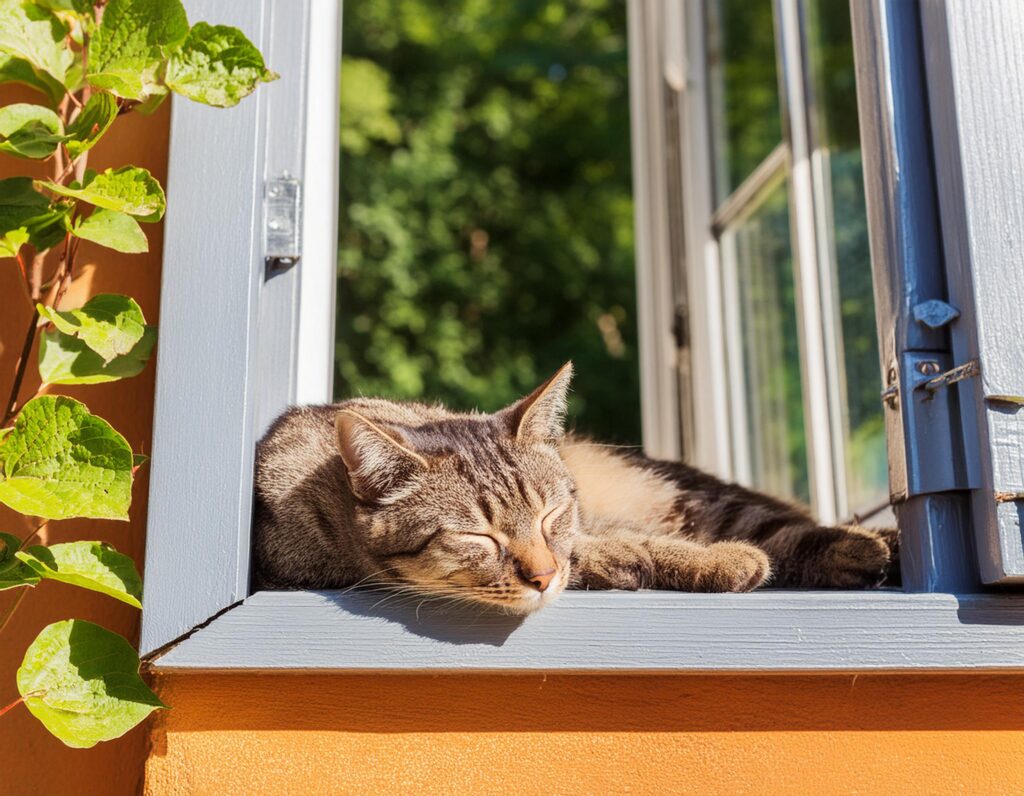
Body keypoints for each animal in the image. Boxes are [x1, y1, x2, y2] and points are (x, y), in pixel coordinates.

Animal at [251, 362, 901, 610]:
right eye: (478, 538)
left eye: (550, 515)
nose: (542, 575)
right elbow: (611, 551)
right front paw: (713, 563)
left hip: (695, 495)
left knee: (781, 524)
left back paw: (872, 543)